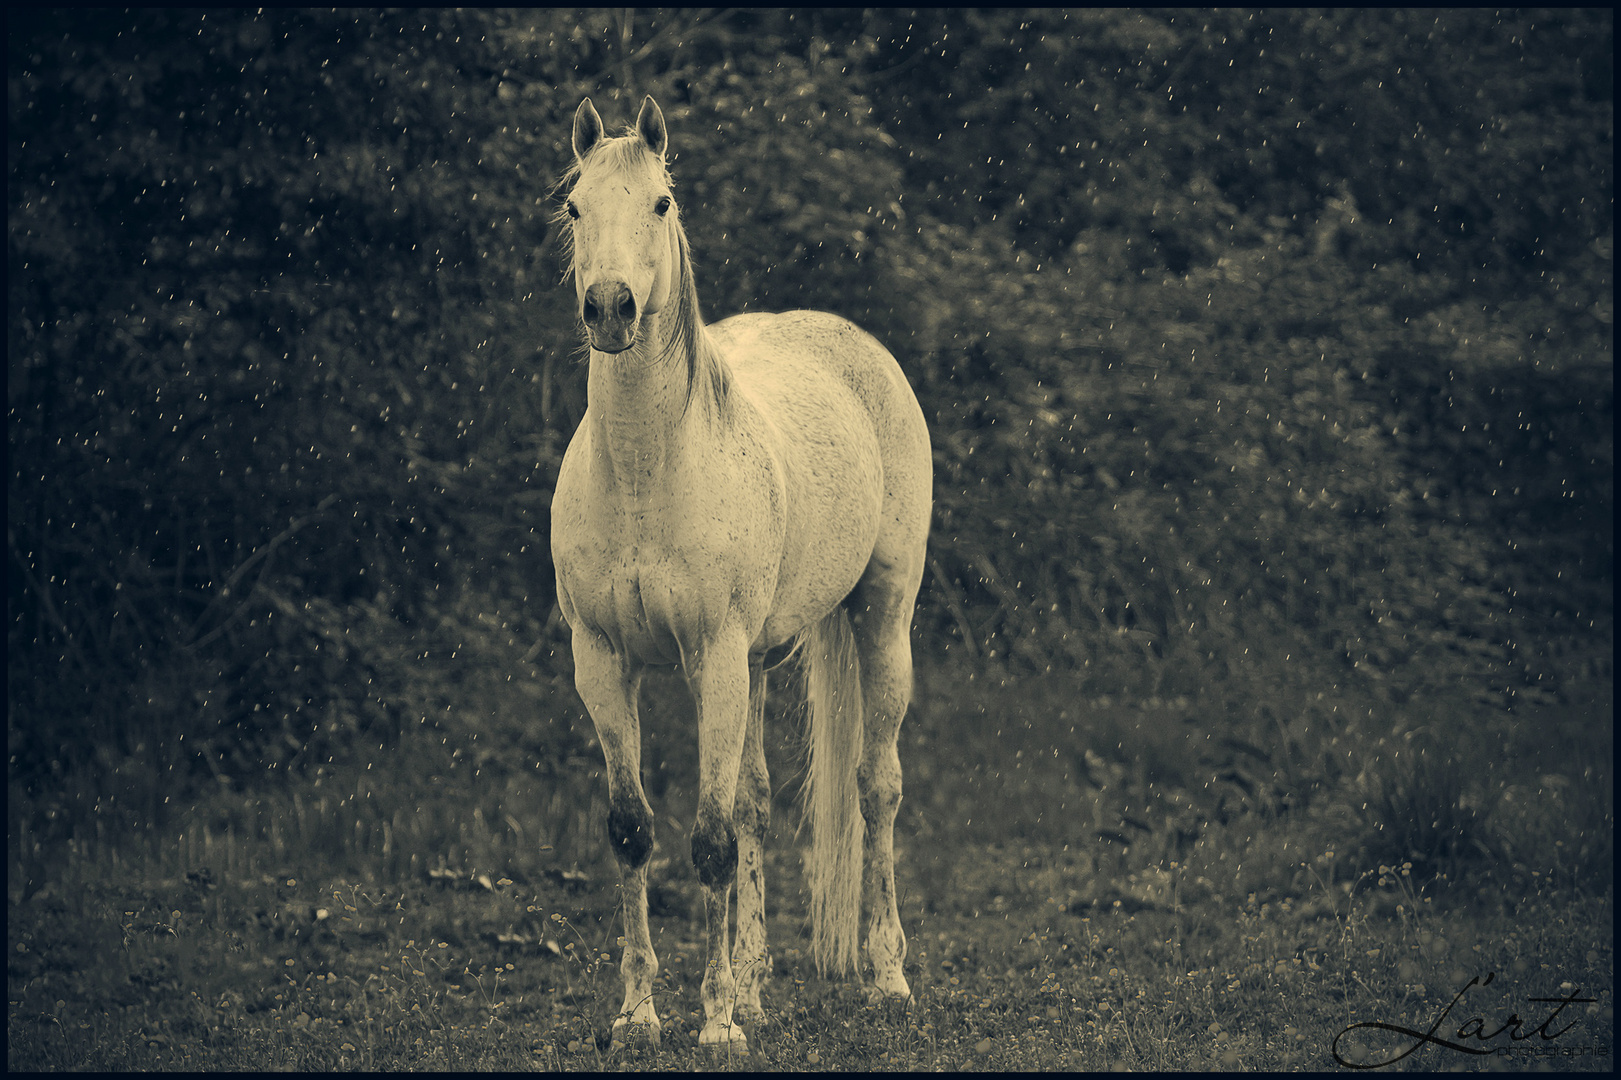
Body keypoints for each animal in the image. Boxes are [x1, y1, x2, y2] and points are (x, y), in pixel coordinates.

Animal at [551, 98, 933, 1044]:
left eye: (659, 203)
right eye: (575, 207)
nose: (609, 308)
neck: (646, 472)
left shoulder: (715, 656)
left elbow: (712, 840)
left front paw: (718, 1024)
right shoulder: (601, 661)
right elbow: (634, 831)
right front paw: (640, 1015)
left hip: (881, 615)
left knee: (876, 788)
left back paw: (885, 976)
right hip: (758, 658)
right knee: (758, 801)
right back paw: (759, 981)